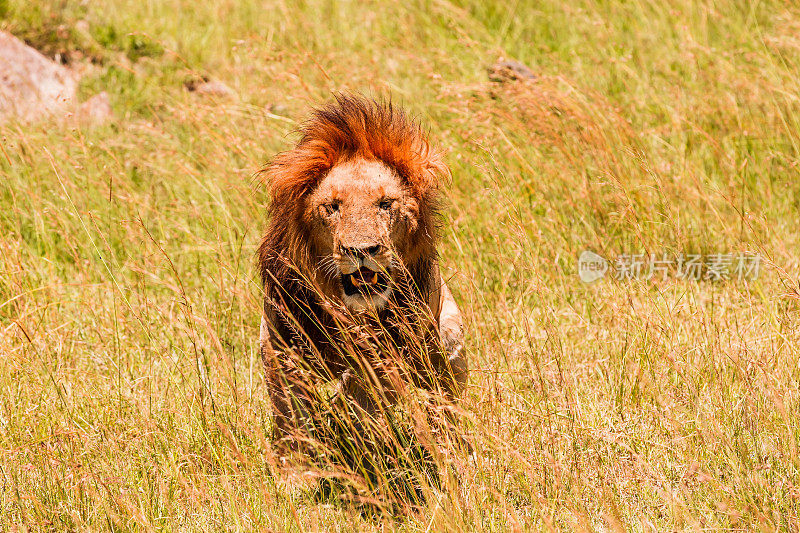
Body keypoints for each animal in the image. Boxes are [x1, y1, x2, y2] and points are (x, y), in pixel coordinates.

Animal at [256, 94, 468, 448]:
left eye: (385, 203)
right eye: (332, 206)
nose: (361, 251)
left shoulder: (390, 351)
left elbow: (361, 392)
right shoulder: (280, 345)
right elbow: (290, 412)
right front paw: (298, 454)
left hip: (449, 341)